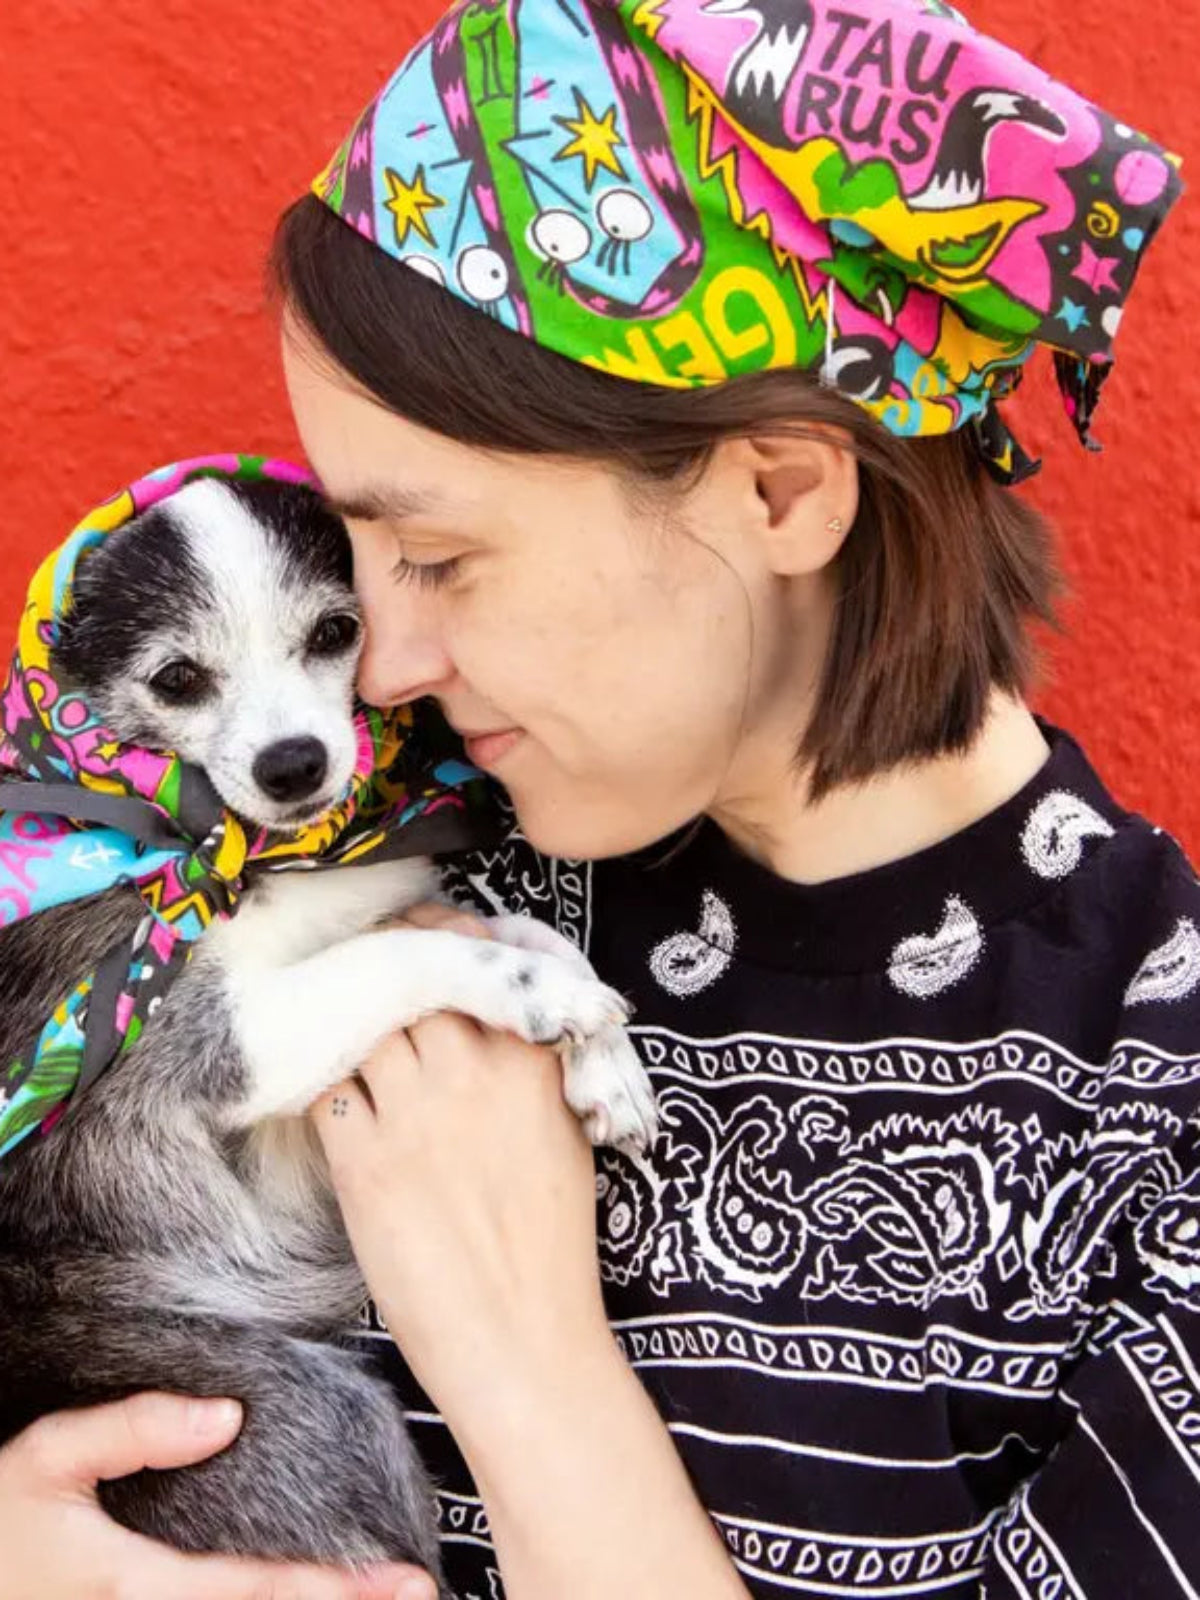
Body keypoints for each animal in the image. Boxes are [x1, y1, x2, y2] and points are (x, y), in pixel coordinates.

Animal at [0, 476, 659, 1587]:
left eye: (337, 632)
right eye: (177, 678)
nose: (293, 763)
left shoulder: (387, 905)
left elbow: (504, 922)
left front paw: (605, 1059)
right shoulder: (215, 1042)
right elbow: (413, 957)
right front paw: (540, 995)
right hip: (312, 1410)